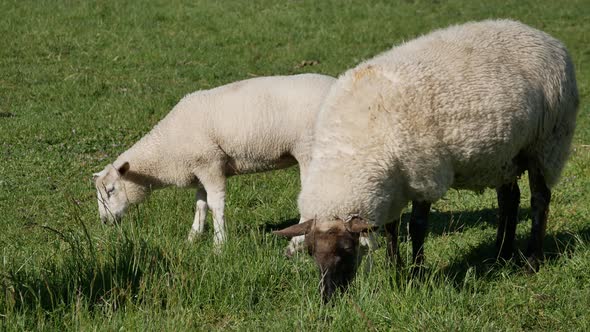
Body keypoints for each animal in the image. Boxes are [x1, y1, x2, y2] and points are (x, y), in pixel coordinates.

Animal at [96, 74, 338, 248]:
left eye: (111, 190)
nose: (104, 222)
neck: (167, 148)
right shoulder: (198, 170)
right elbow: (200, 205)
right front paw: (192, 238)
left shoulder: (210, 164)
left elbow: (215, 204)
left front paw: (219, 244)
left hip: (309, 149)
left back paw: (297, 242)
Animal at [276, 19, 580, 302]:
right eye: (311, 251)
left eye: (348, 249)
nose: (328, 296)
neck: (350, 148)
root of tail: (548, 39)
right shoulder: (394, 185)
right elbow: (391, 229)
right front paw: (395, 270)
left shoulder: (424, 173)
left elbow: (417, 227)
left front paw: (416, 273)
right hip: (503, 155)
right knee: (509, 199)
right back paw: (501, 254)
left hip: (547, 142)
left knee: (539, 199)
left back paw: (531, 261)